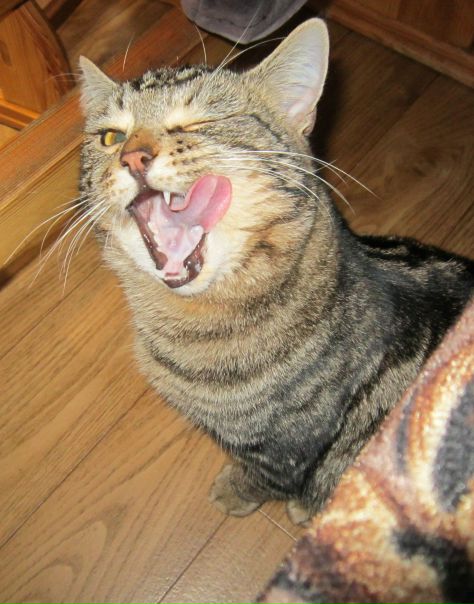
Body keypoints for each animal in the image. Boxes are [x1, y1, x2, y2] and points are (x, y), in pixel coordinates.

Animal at [79, 18, 474, 525]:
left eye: (200, 122)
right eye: (110, 137)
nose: (133, 156)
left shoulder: (285, 452)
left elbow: (263, 478)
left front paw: (236, 492)